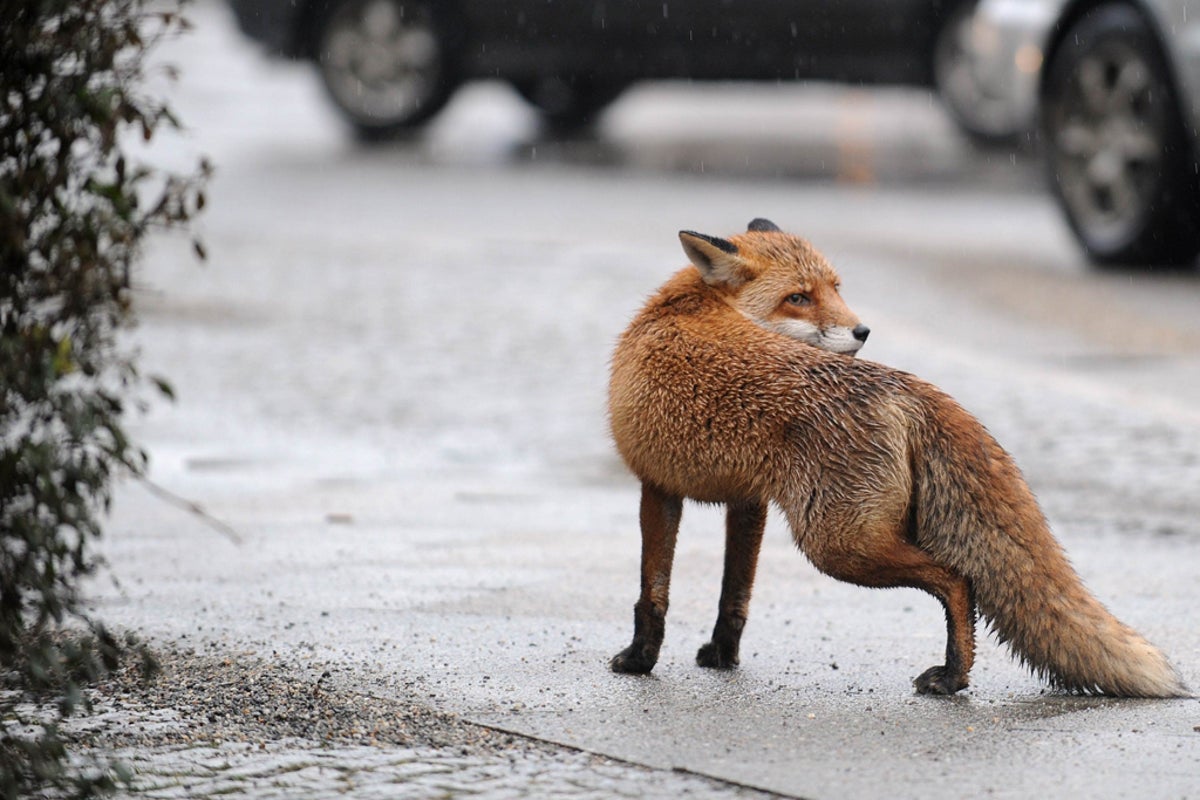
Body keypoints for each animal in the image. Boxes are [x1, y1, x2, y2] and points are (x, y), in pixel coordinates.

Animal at [607, 218, 1188, 697]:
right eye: (798, 297)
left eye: (834, 289)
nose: (863, 331)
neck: (690, 306)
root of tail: (906, 386)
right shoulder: (747, 502)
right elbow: (736, 591)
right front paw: (722, 656)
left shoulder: (655, 485)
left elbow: (651, 591)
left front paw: (639, 661)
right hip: (848, 536)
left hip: (837, 544)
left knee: (958, 578)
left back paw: (952, 676)